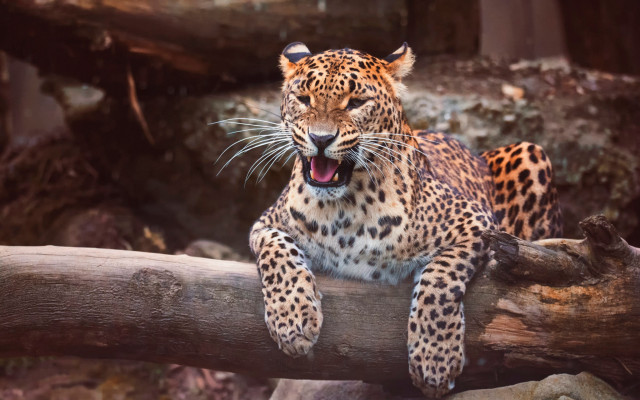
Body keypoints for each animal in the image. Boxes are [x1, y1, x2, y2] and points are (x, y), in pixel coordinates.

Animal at [248, 42, 562, 397]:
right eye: (304, 99)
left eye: (355, 103)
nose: (321, 138)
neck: (342, 208)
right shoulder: (266, 224)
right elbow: (278, 254)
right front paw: (293, 320)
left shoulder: (476, 222)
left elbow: (439, 280)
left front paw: (435, 358)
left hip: (531, 152)